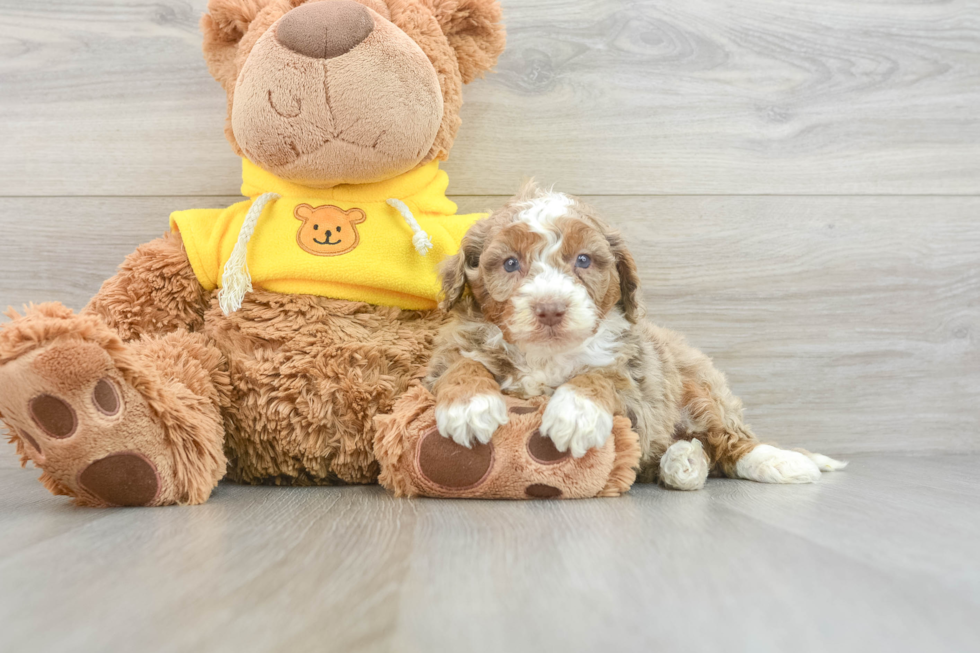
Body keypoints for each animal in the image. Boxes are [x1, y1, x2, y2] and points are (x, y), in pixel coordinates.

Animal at [424, 183, 848, 488]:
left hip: (700, 386)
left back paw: (776, 460)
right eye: (511, 264)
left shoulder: (639, 386)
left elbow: (604, 375)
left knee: (730, 439)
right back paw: (684, 461)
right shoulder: (449, 353)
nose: (550, 309)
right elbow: (462, 365)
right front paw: (469, 405)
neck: (546, 356)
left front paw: (576, 412)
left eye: (583, 260)